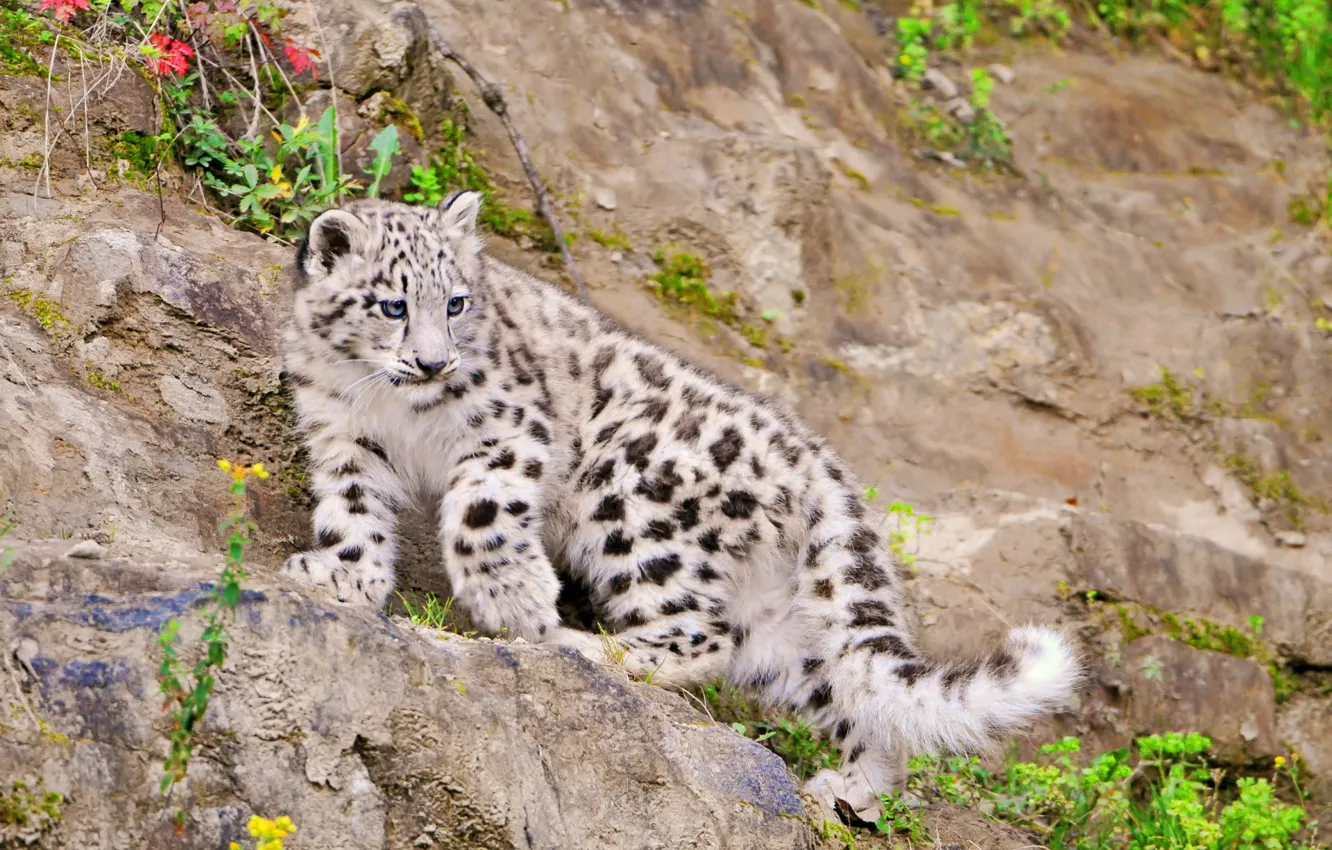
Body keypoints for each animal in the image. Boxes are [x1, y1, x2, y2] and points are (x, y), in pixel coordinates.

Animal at [278, 191, 1082, 821]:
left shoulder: (508, 430)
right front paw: (343, 576)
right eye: (392, 305)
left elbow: (483, 514)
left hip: (630, 502)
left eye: (455, 302)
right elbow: (351, 509)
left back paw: (583, 646)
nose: (434, 361)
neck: (392, 407)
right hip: (781, 624)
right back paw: (850, 791)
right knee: (843, 690)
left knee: (699, 634)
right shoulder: (344, 437)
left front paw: (516, 600)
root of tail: (817, 459)